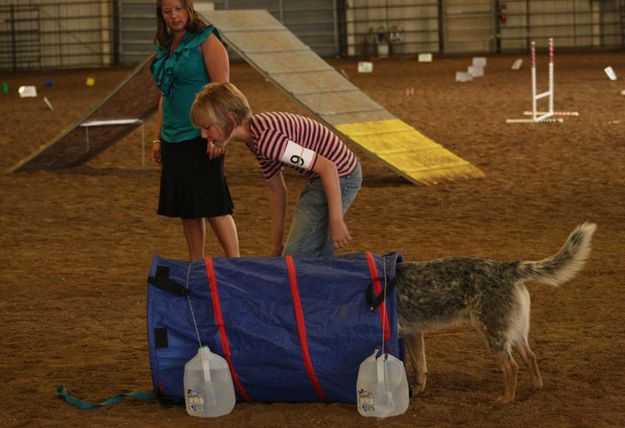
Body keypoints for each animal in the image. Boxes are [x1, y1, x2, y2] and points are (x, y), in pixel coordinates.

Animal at [394, 222, 596, 402]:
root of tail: (507, 268)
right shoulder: (413, 333)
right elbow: (420, 367)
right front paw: (415, 392)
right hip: (515, 332)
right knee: (530, 357)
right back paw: (535, 389)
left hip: (493, 335)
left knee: (511, 367)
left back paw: (506, 400)